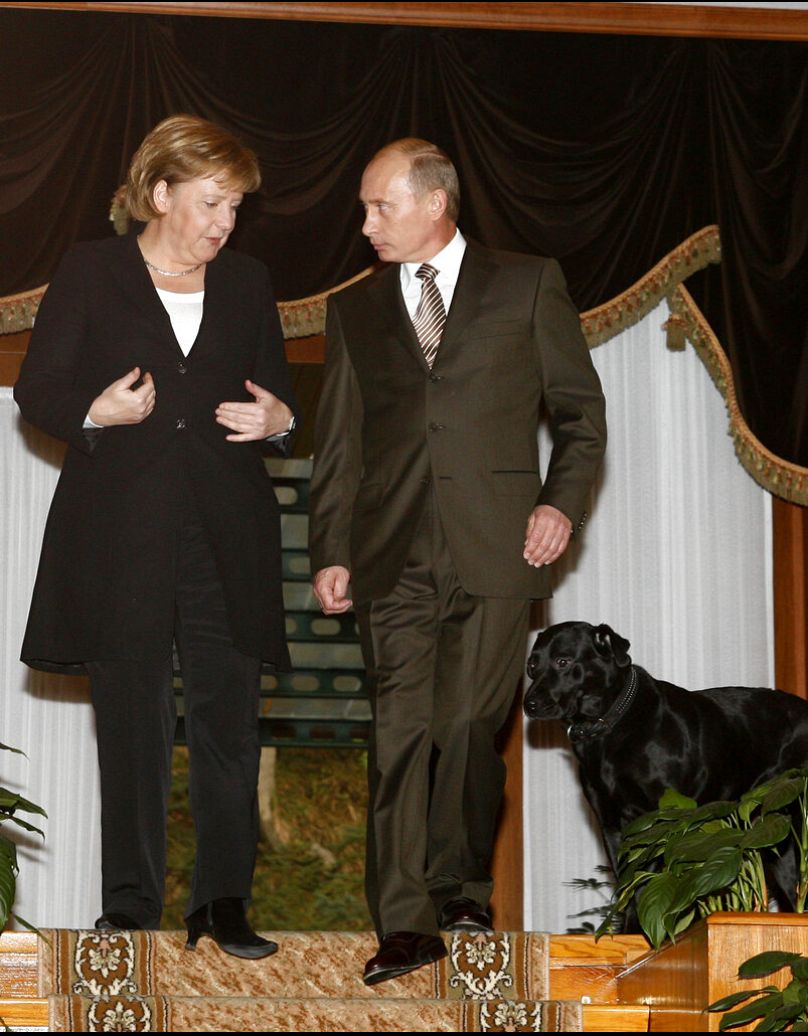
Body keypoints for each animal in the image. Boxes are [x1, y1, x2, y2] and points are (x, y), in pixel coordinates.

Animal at [520, 617, 808, 911]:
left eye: (563, 661)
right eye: (531, 665)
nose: (528, 705)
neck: (611, 727)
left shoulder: (664, 819)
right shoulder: (611, 825)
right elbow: (629, 889)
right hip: (775, 833)